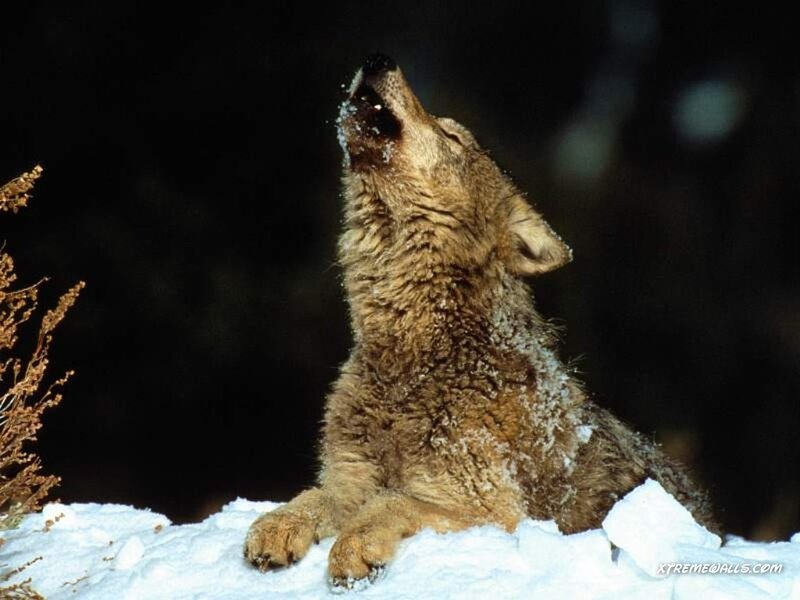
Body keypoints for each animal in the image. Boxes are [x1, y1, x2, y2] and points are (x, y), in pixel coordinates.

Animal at [245, 53, 717, 587]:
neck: (412, 360)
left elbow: (392, 501)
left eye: (452, 137)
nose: (378, 59)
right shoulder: (350, 478)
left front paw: (353, 549)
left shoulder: (491, 510)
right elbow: (314, 496)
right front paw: (277, 526)